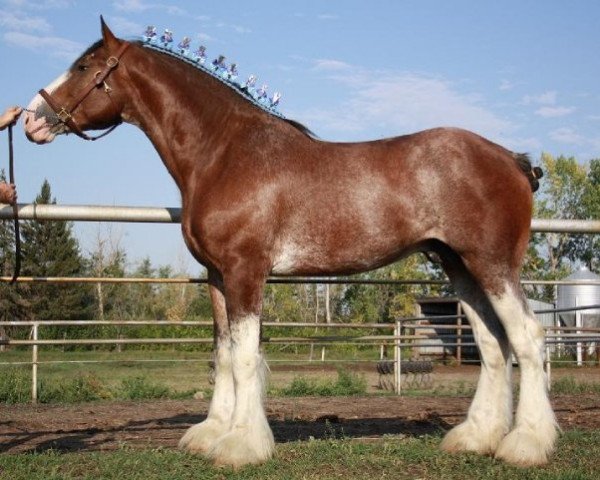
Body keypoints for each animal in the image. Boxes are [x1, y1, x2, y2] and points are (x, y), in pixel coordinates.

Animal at [23, 19, 556, 468]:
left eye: (85, 67)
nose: (31, 119)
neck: (223, 152)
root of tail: (512, 160)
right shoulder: (217, 277)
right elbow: (223, 354)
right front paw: (211, 433)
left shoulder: (245, 271)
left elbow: (243, 358)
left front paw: (241, 444)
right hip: (459, 267)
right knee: (493, 345)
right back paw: (476, 437)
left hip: (492, 265)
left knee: (527, 338)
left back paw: (525, 444)